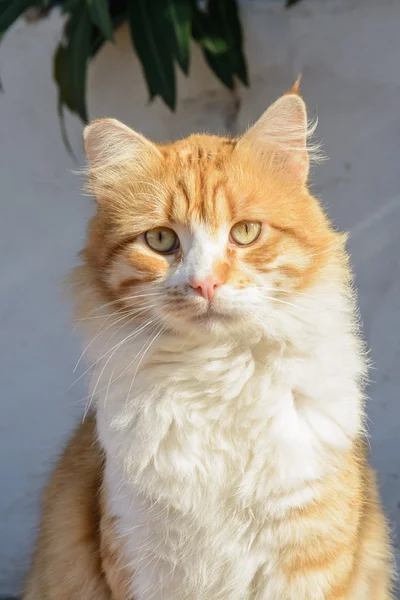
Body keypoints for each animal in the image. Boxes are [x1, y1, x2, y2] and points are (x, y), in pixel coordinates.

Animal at [22, 85, 394, 600]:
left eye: (245, 232)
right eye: (161, 240)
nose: (205, 284)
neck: (215, 375)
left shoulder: (305, 557)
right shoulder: (143, 558)